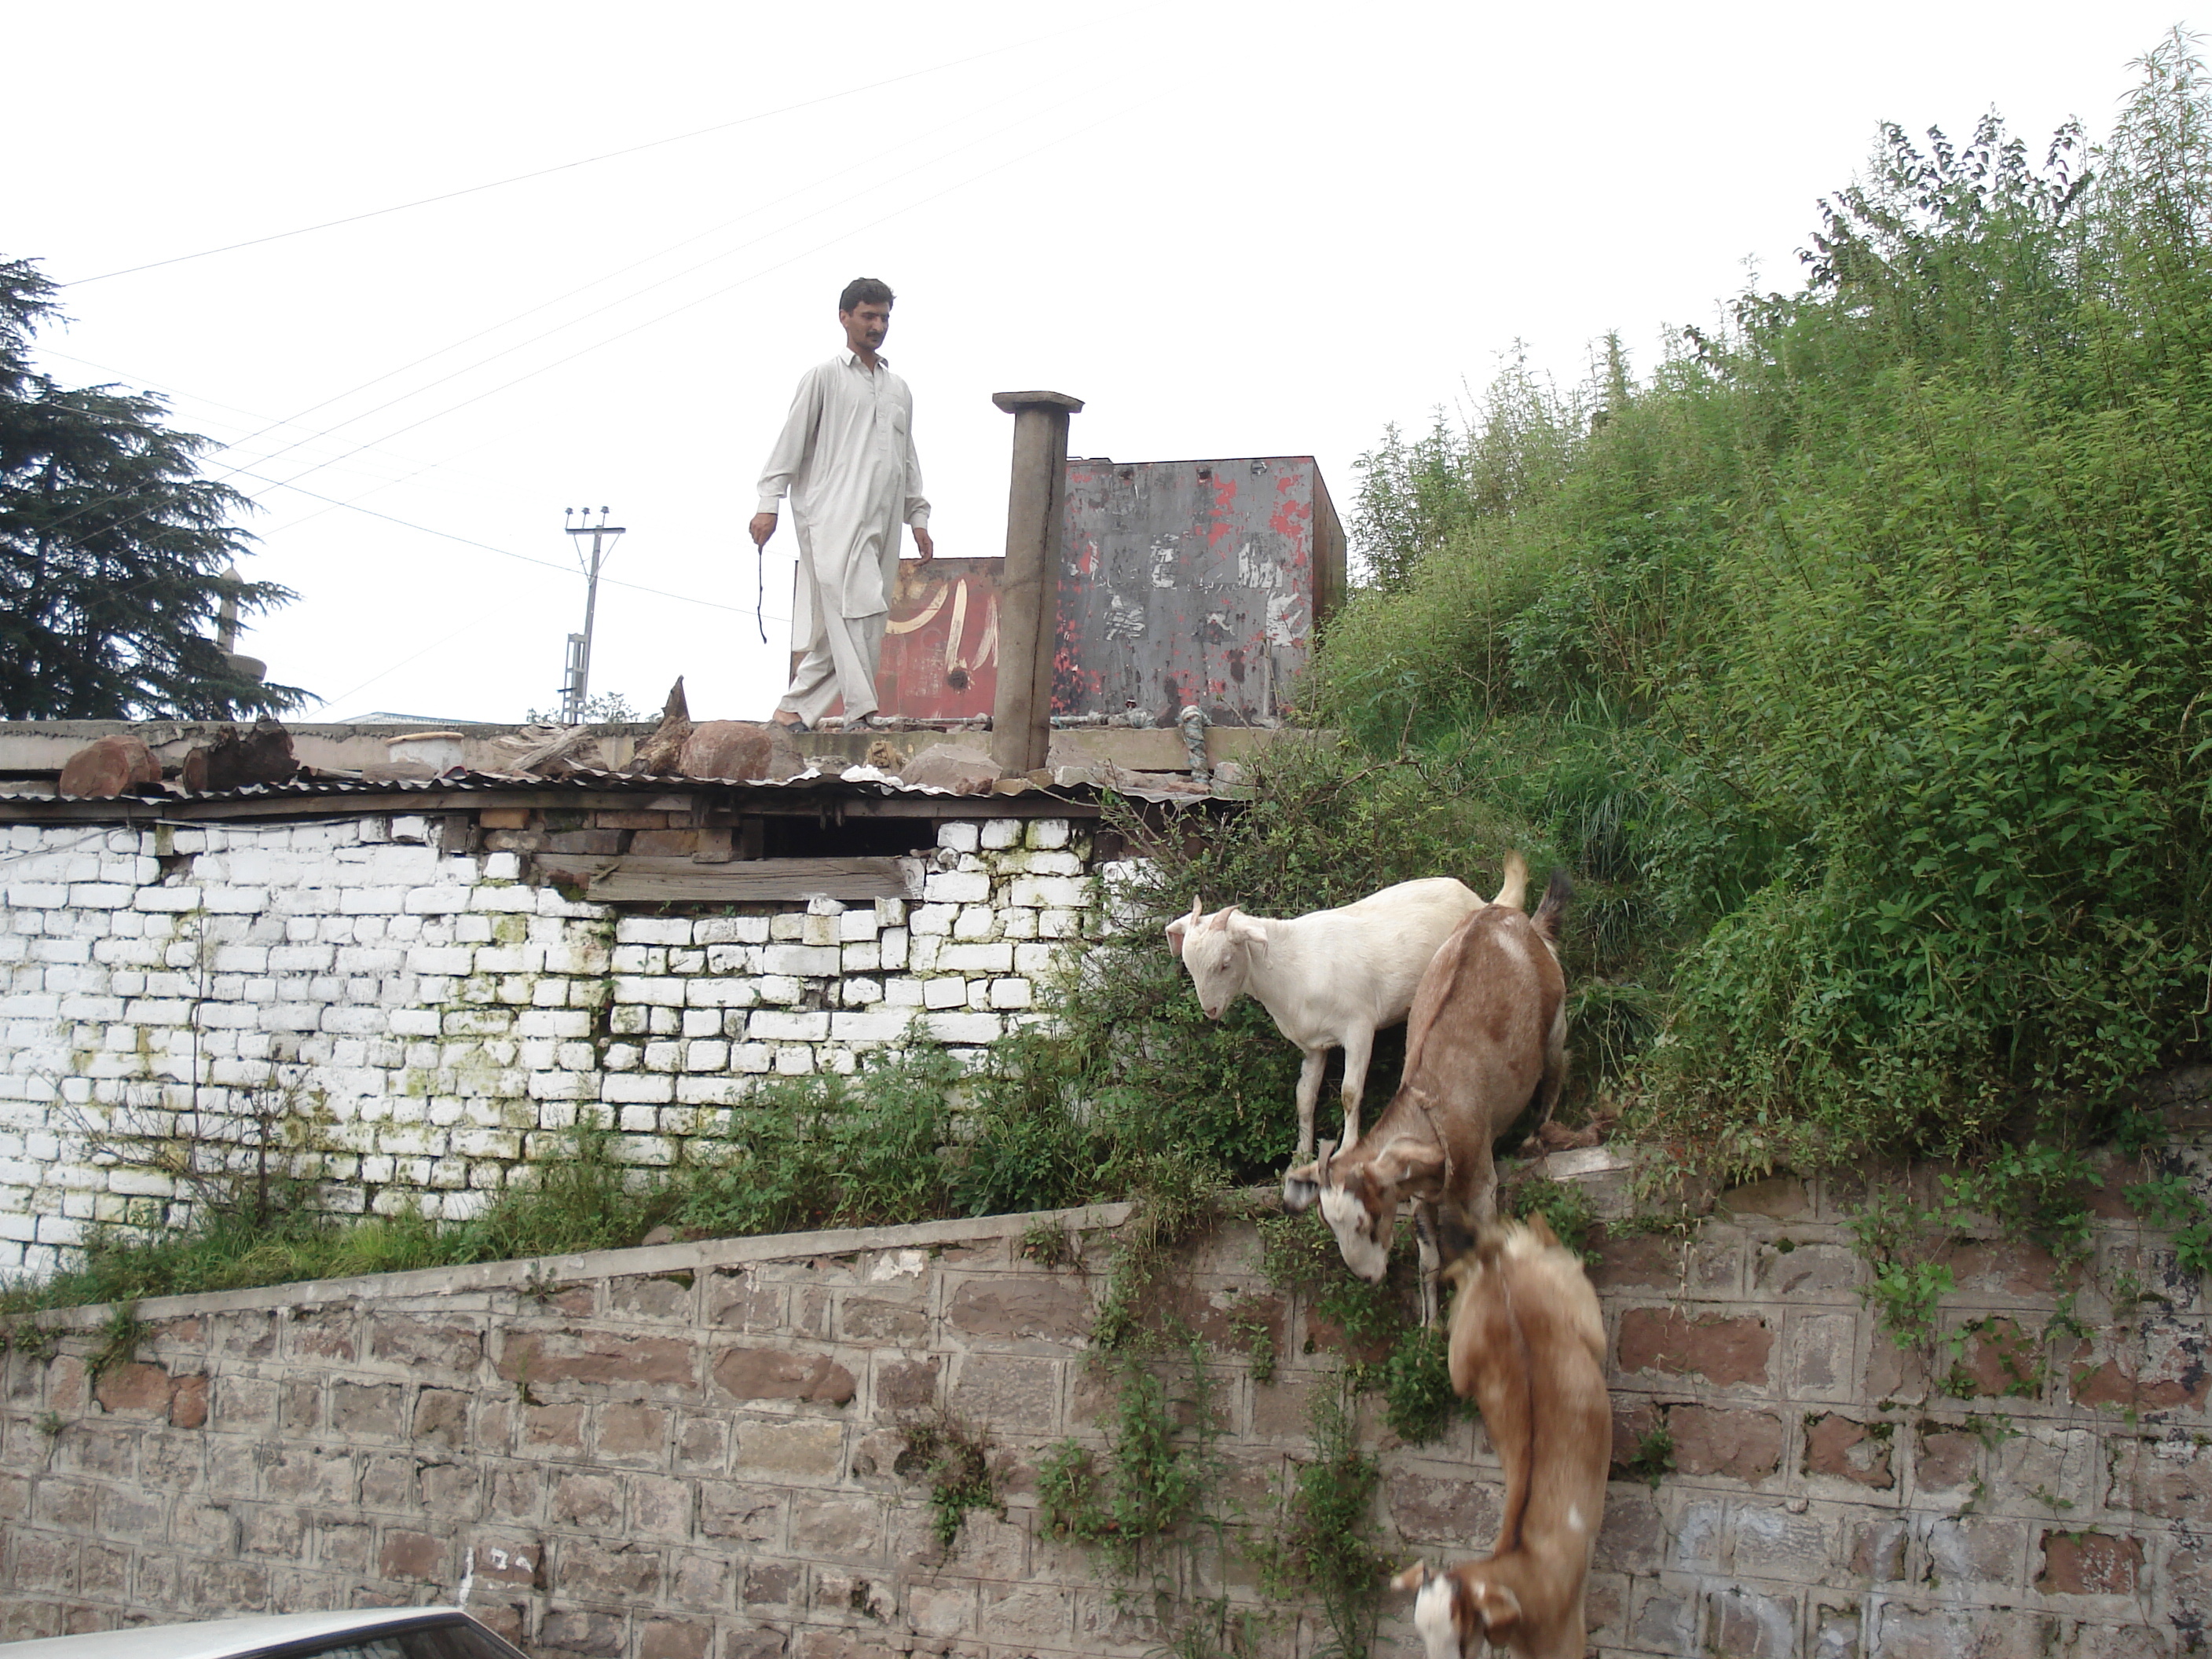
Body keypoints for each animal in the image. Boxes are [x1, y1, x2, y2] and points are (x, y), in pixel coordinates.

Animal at [1159, 862, 1522, 1177]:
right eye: (1189, 965)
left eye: (1225, 962)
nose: (1211, 1010)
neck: (1292, 970)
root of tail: (1473, 896)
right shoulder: (1313, 1045)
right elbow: (1304, 1098)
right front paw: (1299, 1158)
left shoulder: (1359, 1027)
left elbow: (1349, 1092)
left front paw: (1346, 1150)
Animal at [1283, 862, 1574, 1318]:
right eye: (1330, 1223)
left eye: (1367, 1219)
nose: (1368, 1277)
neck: (1431, 1110)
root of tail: (1520, 921)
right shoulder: (1420, 1196)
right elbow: (1429, 1262)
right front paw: (1430, 1326)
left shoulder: (1482, 1187)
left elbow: (1489, 1253)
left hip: (1555, 1024)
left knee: (1556, 1072)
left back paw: (1535, 1137)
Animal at [1380, 1212, 1610, 1659]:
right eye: (1422, 1636)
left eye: (1463, 1637)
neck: (1527, 1567)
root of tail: (1495, 1266)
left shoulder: (1564, 1635)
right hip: (1465, 1349)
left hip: (1582, 1313)